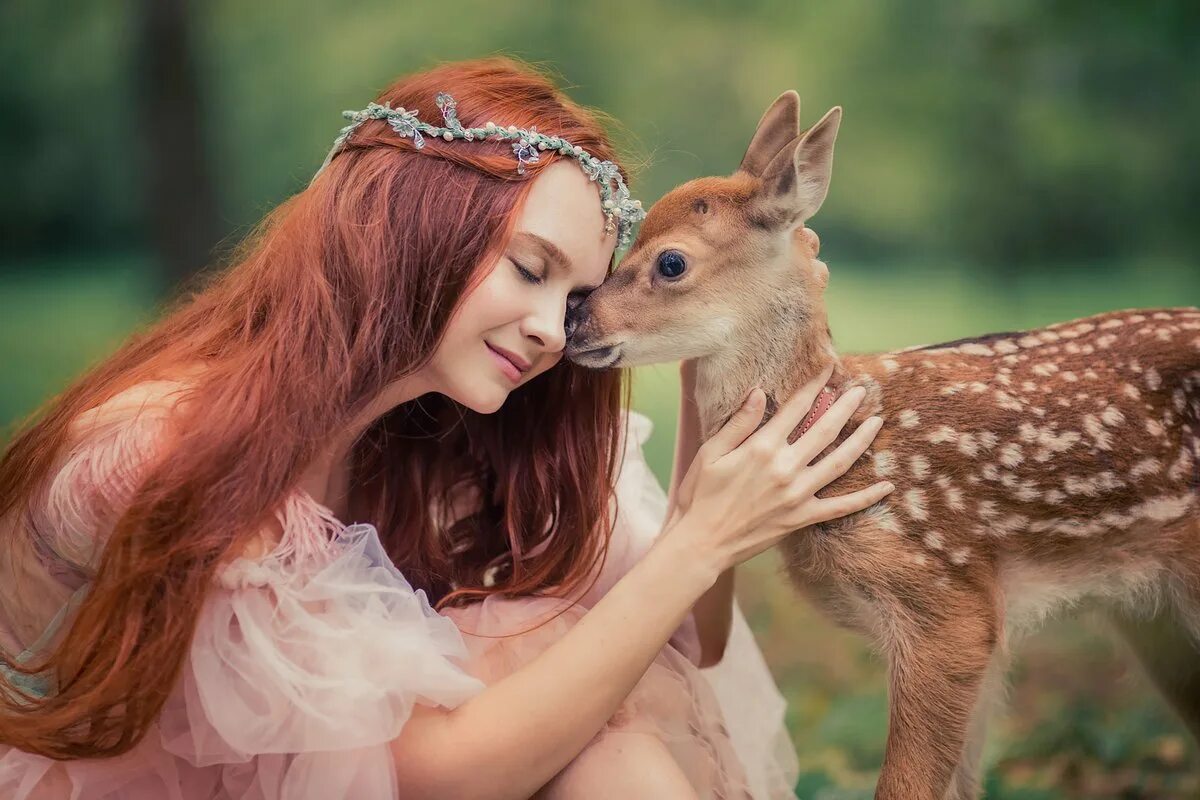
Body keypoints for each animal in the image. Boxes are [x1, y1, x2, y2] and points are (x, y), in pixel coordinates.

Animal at [564, 90, 1200, 796]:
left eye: (671, 261)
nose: (575, 318)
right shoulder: (978, 628)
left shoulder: (951, 604)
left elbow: (905, 785)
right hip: (1156, 621)